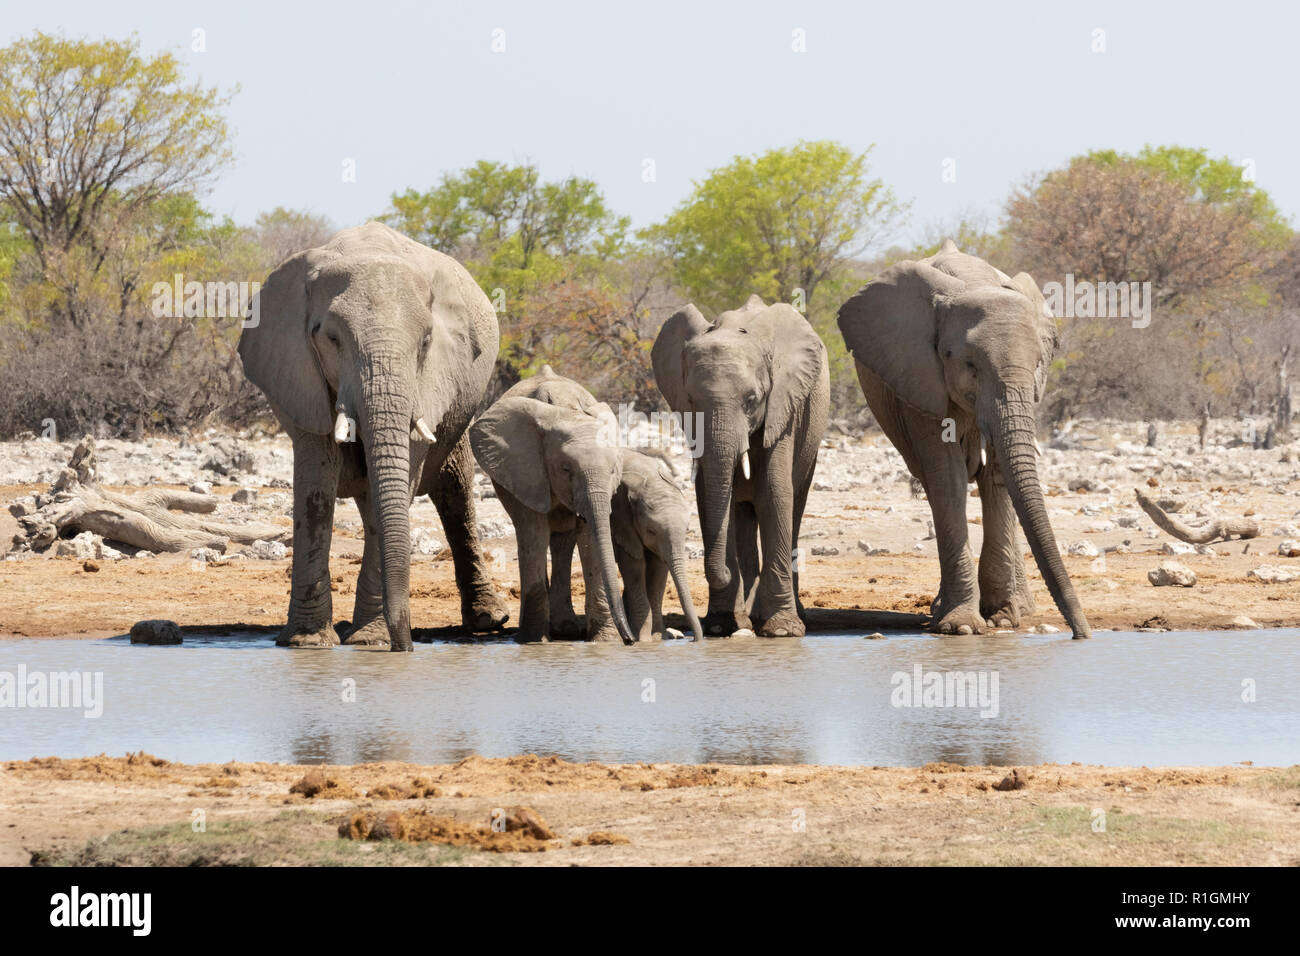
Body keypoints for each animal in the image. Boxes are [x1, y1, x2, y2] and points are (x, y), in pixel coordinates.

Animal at [239, 222, 506, 650]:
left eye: (426, 342)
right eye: (331, 339)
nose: (406, 646)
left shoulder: (431, 381)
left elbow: (402, 481)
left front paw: (369, 642)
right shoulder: (301, 375)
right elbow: (316, 487)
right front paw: (307, 643)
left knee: (454, 487)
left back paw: (487, 620)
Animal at [613, 447, 707, 642]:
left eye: (687, 530)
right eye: (651, 531)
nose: (693, 639)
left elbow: (658, 570)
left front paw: (658, 638)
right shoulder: (621, 521)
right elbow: (634, 567)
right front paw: (644, 639)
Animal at [650, 291, 832, 634]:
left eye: (751, 401)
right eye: (691, 401)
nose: (721, 572)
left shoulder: (783, 409)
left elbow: (774, 495)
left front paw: (782, 630)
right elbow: (710, 498)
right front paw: (721, 626)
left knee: (794, 505)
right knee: (740, 513)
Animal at [837, 243, 1092, 639]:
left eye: (1039, 363)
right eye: (969, 365)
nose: (1082, 634)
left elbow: (998, 475)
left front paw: (1001, 617)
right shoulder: (919, 378)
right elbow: (948, 475)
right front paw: (961, 627)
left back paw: (1022, 607)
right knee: (935, 485)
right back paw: (943, 610)